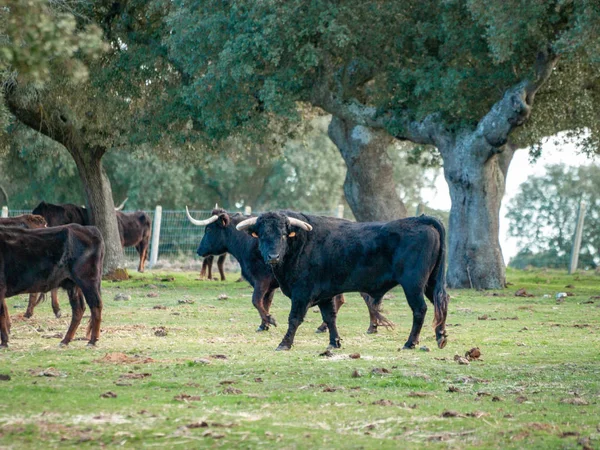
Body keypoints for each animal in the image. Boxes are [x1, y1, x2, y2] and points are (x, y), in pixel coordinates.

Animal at [185, 208, 390, 334]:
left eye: (209, 229)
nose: (199, 250)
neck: (247, 241)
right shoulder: (270, 285)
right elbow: (265, 302)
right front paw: (263, 325)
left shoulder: (261, 280)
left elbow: (256, 301)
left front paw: (270, 321)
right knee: (344, 300)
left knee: (365, 298)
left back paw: (372, 326)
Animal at [237, 211, 448, 352]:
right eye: (262, 235)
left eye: (282, 234)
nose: (273, 257)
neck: (301, 244)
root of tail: (421, 219)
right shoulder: (324, 295)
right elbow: (330, 317)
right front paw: (334, 342)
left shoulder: (301, 293)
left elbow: (294, 318)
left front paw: (284, 343)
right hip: (430, 283)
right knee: (441, 304)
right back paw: (441, 336)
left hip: (413, 285)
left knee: (420, 310)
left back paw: (410, 343)